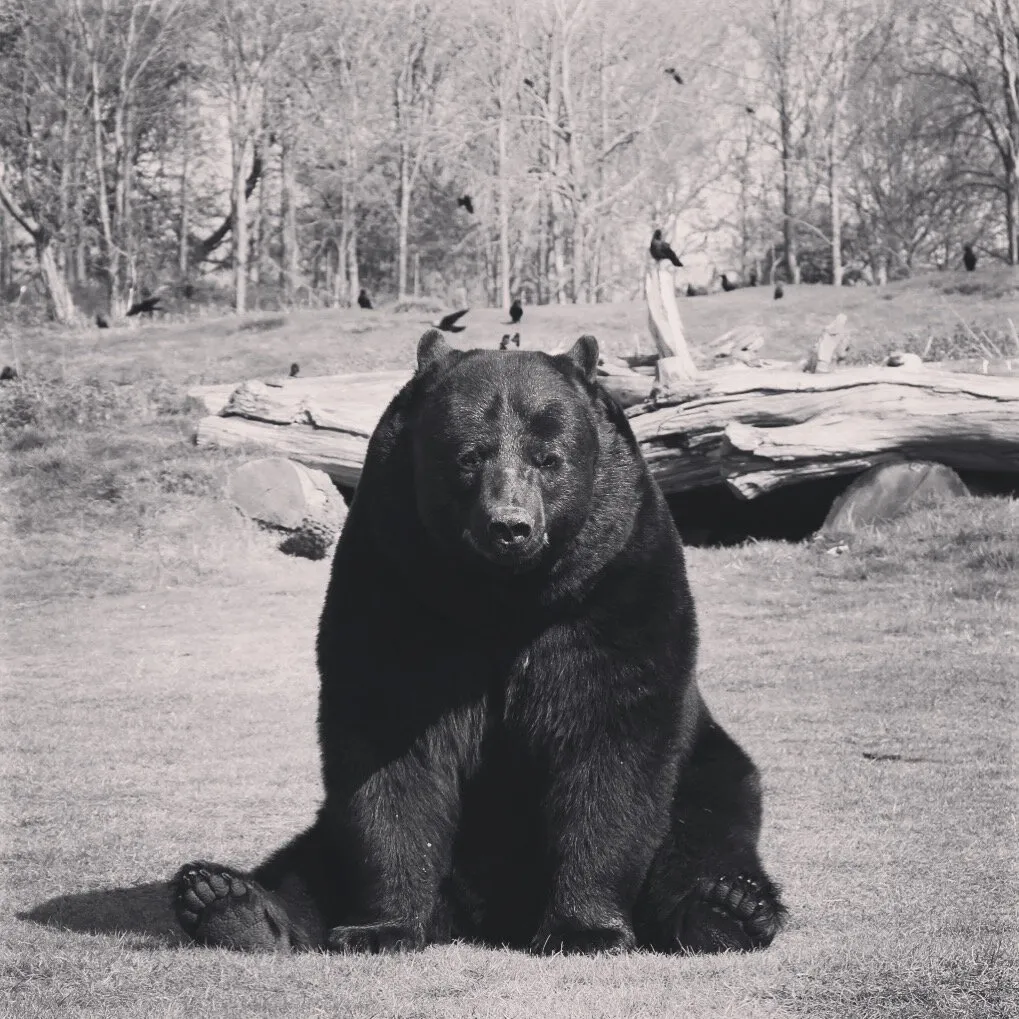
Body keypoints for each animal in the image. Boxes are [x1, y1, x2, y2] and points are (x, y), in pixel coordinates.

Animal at [173, 331, 786, 956]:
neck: (501, 600)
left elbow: (609, 743)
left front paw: (585, 928)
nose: (509, 526)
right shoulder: (393, 582)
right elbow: (390, 750)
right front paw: (381, 926)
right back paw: (228, 901)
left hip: (708, 769)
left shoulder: (614, 587)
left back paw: (727, 909)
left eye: (548, 459)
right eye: (468, 455)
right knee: (308, 863)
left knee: (705, 836)